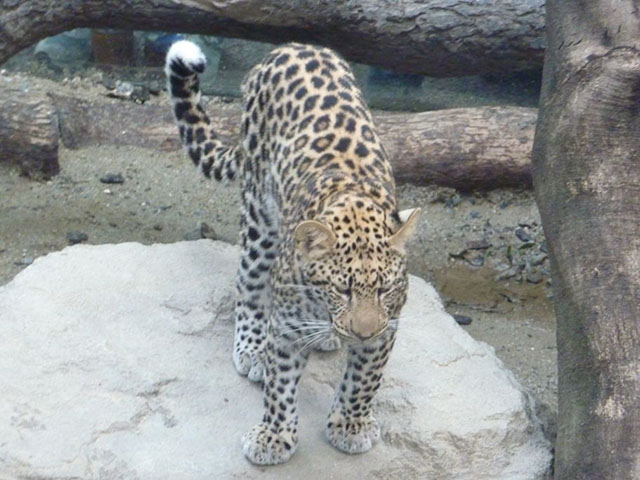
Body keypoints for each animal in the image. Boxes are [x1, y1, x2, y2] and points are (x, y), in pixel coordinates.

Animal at [165, 40, 420, 465]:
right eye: (342, 290)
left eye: (385, 290)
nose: (361, 332)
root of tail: (288, 47)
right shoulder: (285, 328)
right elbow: (280, 388)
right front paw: (274, 435)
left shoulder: (387, 327)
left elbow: (364, 381)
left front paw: (351, 425)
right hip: (258, 217)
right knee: (249, 284)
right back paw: (252, 349)